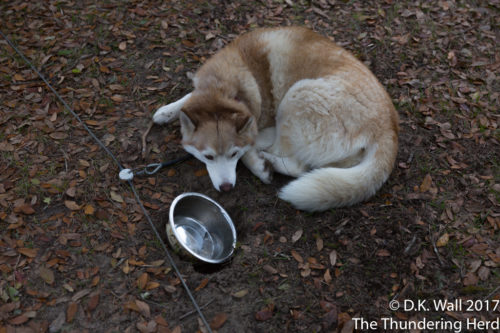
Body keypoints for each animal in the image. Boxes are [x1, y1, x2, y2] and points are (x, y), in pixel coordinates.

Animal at [152, 26, 398, 210]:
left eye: (232, 154)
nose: (226, 188)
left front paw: (255, 160)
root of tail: (388, 128)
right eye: (208, 157)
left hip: (298, 94)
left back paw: (264, 160)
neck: (224, 90)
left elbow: (247, 146)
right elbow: (188, 99)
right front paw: (167, 111)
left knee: (290, 159)